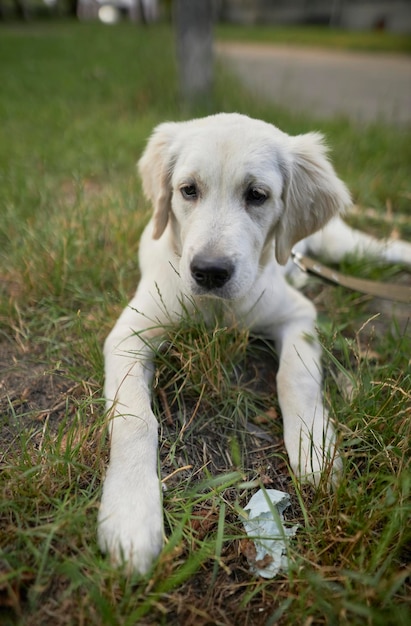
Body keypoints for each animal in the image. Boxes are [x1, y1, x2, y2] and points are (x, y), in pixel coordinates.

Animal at [98, 111, 410, 572]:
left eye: (257, 195)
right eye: (188, 190)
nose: (209, 272)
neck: (217, 310)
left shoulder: (299, 315)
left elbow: (295, 378)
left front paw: (313, 448)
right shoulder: (129, 335)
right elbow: (134, 418)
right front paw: (131, 514)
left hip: (342, 245)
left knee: (389, 246)